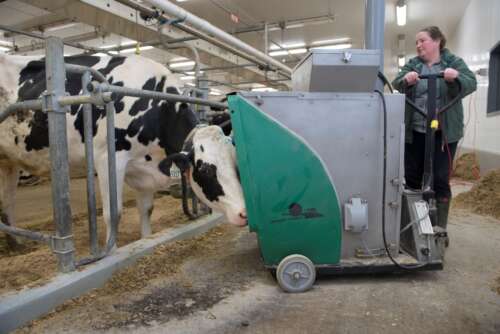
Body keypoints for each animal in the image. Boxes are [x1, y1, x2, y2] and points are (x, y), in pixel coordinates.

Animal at [0, 54, 246, 248]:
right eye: (206, 171)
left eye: (236, 165)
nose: (244, 213)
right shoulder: (108, 158)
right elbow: (113, 214)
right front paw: (112, 250)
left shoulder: (144, 168)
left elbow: (147, 209)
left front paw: (145, 239)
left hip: (9, 160)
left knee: (8, 200)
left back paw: (16, 243)